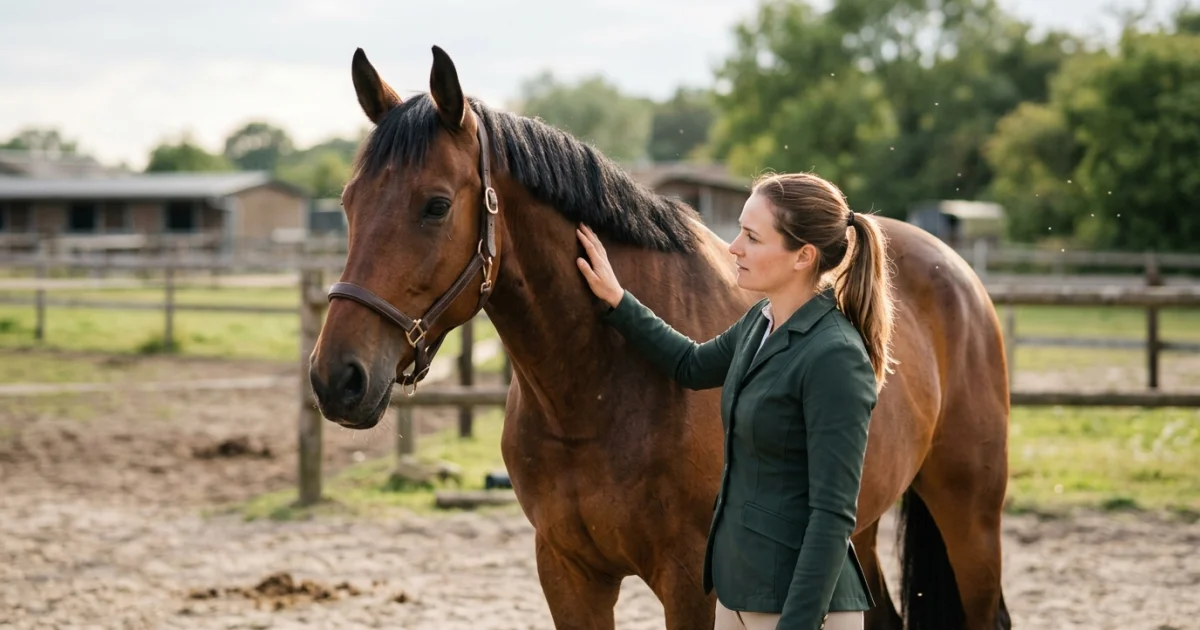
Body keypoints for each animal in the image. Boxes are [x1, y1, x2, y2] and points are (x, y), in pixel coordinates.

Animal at [307, 45, 1012, 630]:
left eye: (434, 206)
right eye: (347, 203)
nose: (337, 378)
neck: (596, 391)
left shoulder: (693, 583)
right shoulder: (568, 573)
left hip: (971, 520)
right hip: (854, 530)